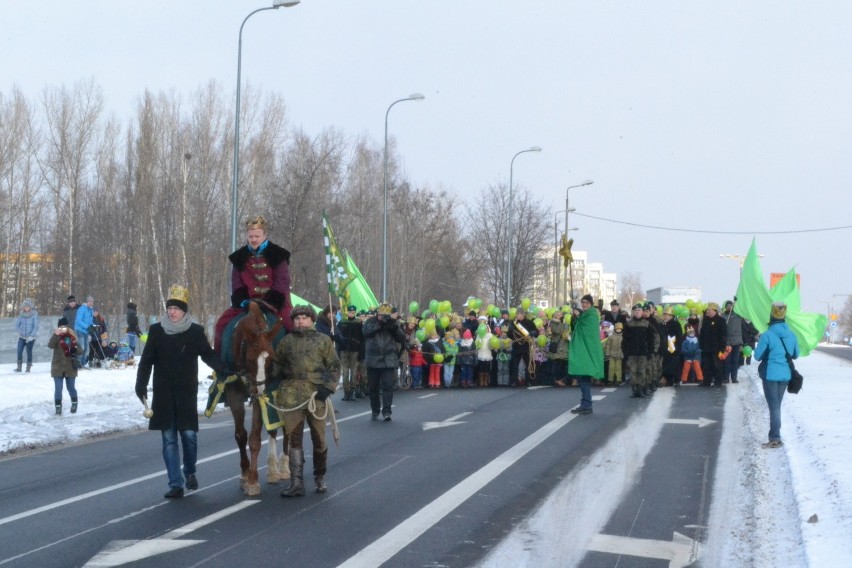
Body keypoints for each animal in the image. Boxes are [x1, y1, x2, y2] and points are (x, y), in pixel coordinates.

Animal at [226, 304, 286, 494]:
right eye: (251, 358)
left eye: (270, 361)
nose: (259, 389)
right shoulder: (233, 393)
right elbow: (241, 435)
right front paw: (245, 475)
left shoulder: (264, 395)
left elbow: (254, 438)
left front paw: (253, 480)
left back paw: (281, 467)